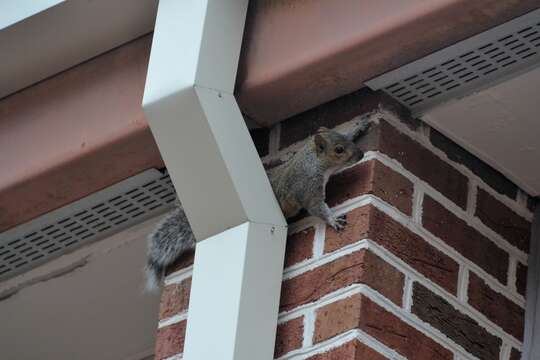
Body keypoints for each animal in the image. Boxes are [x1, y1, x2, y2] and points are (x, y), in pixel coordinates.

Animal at [143, 116, 372, 292]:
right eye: (339, 150)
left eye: (345, 139)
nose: (361, 154)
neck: (314, 161)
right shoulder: (307, 189)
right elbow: (317, 208)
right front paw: (333, 220)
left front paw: (359, 126)